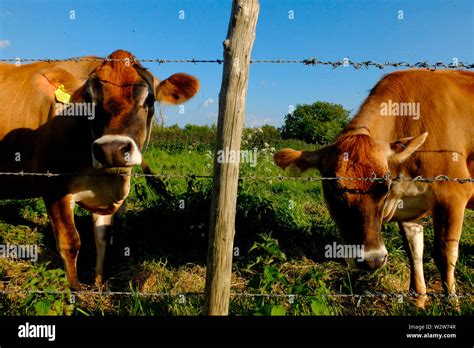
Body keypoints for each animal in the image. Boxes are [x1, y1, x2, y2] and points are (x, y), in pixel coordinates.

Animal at [0, 49, 199, 288]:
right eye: (88, 100)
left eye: (150, 99)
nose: (111, 149)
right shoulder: (54, 188)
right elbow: (70, 242)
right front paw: (76, 289)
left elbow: (103, 238)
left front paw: (99, 284)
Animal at [274, 69, 474, 306]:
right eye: (335, 187)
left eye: (385, 186)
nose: (372, 260)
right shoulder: (408, 210)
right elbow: (415, 253)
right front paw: (418, 302)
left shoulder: (453, 195)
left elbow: (445, 255)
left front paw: (452, 305)